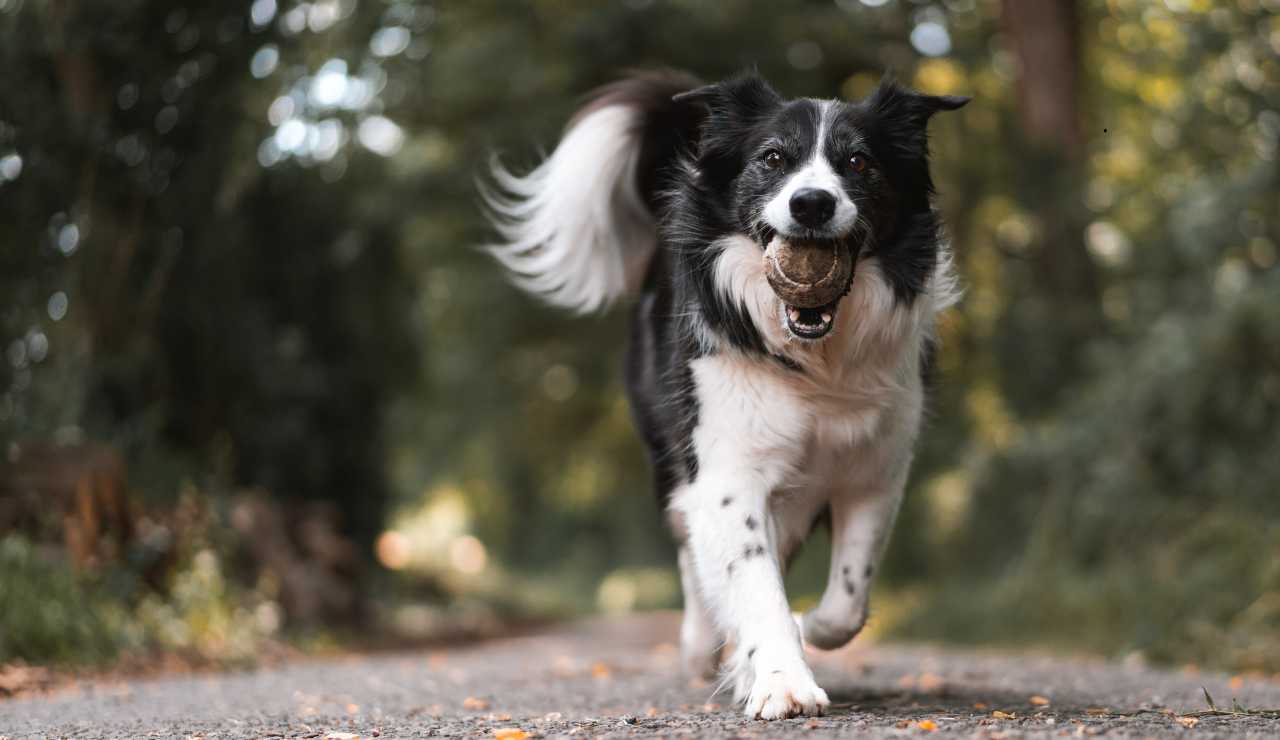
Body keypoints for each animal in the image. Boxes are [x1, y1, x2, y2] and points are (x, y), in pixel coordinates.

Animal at [481, 67, 962, 716]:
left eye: (859, 162)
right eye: (773, 158)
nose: (812, 203)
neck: (815, 362)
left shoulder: (875, 471)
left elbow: (846, 601)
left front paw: (800, 636)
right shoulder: (727, 470)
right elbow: (754, 583)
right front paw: (783, 681)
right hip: (672, 458)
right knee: (692, 550)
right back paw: (701, 646)